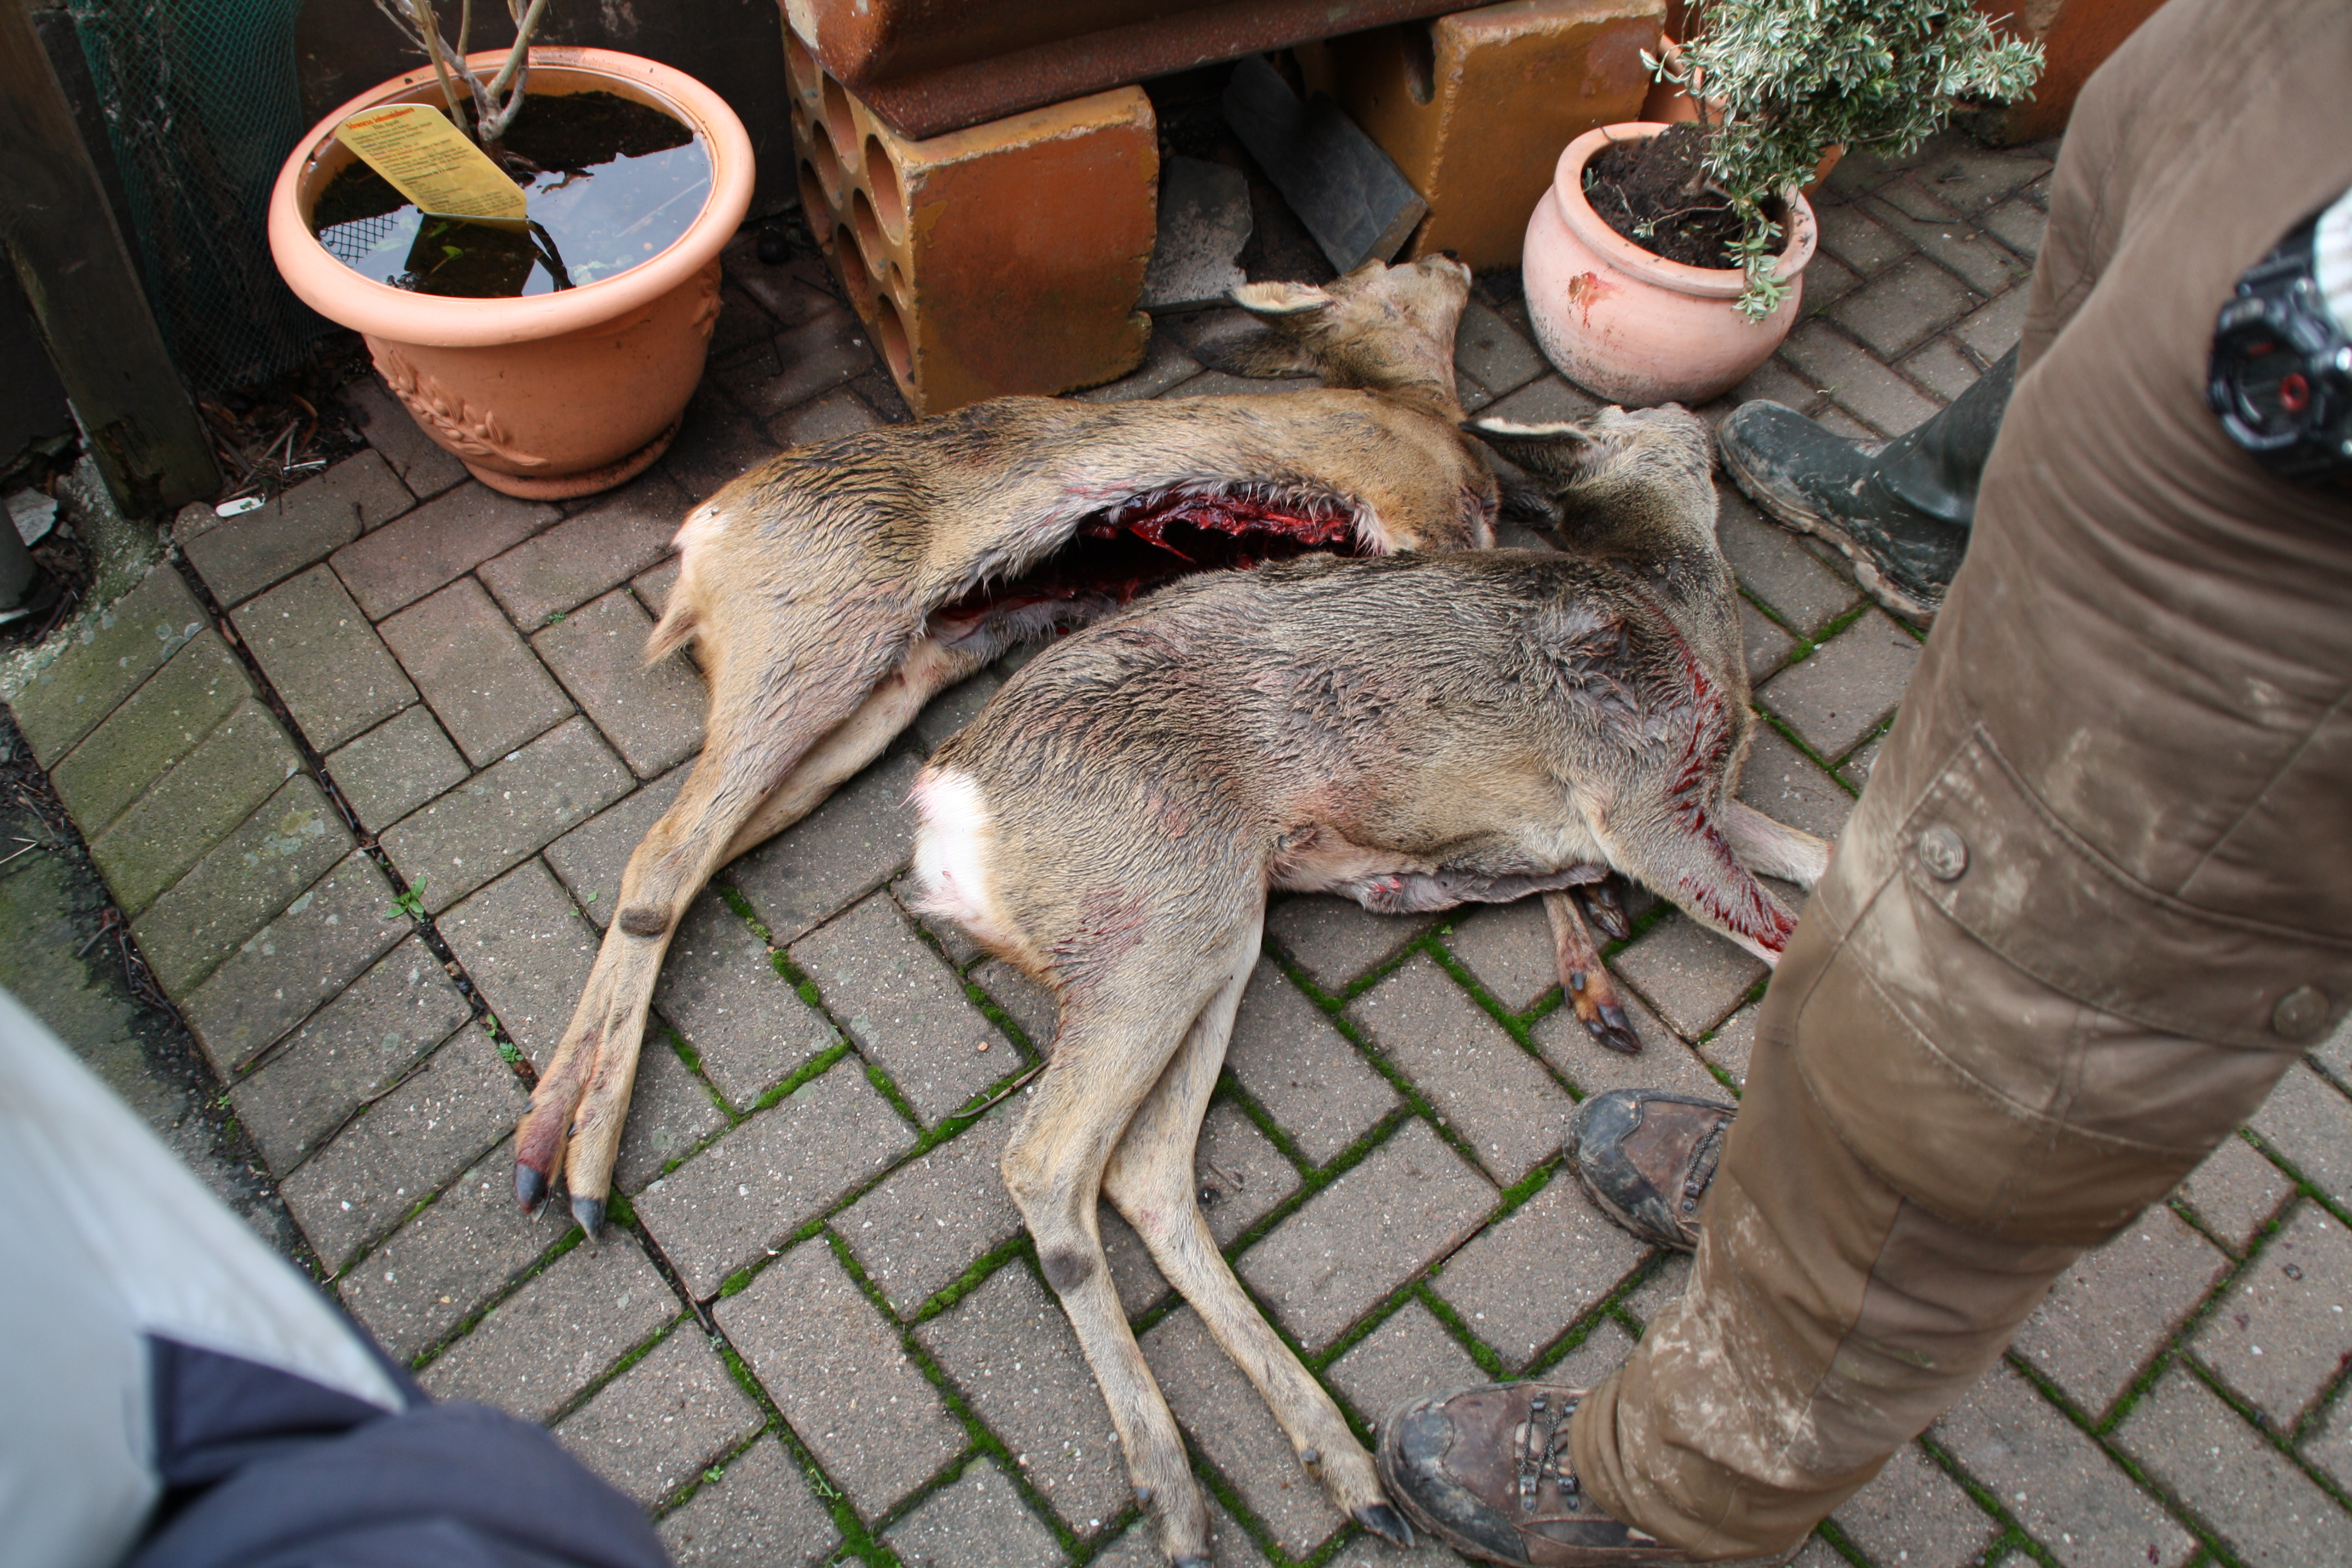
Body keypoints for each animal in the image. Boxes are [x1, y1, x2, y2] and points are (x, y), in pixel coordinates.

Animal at [512, 256, 1520, 1233]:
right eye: (1395, 272)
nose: (1459, 258)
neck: (1418, 410)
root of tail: (704, 527)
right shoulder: (1413, 504)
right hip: (817, 634)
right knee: (662, 856)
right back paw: (580, 1167)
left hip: (875, 698)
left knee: (691, 862)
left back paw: (548, 1145)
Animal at [904, 403, 1832, 1564]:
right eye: (1648, 424)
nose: (1712, 420)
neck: (1676, 610)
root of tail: (944, 813)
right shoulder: (1644, 806)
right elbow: (1786, 938)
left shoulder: (1699, 810)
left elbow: (1823, 858)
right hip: (1154, 911)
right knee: (1043, 1163)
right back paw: (1173, 1490)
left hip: (1214, 930)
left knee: (1146, 1173)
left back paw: (1339, 1462)